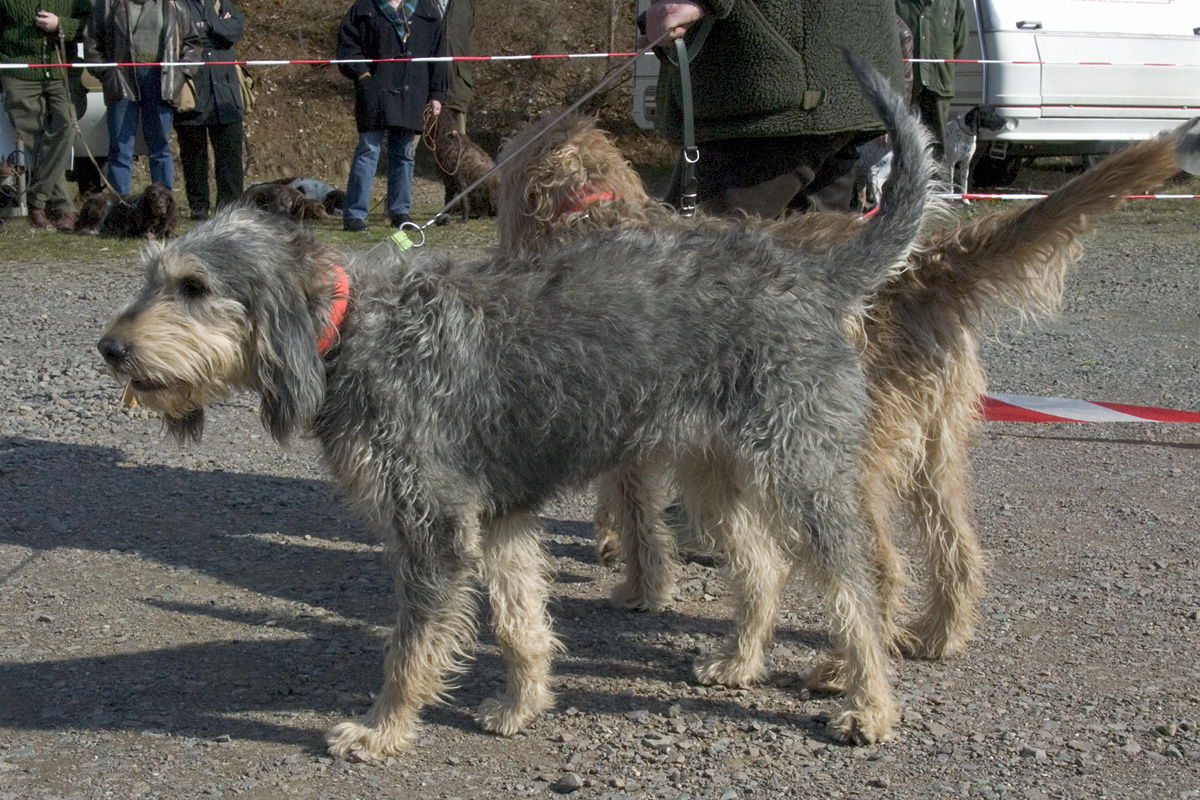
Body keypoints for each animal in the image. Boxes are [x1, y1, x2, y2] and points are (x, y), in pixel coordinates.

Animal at [96, 54, 936, 758]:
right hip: (713, 472)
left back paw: (869, 705)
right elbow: (518, 622)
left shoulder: (431, 530)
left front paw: (382, 730)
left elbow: (409, 649)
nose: (110, 348)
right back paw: (739, 659)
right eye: (149, 275)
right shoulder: (498, 520)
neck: (352, 331)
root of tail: (811, 276)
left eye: (194, 286)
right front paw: (523, 705)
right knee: (761, 567)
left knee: (857, 590)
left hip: (803, 476)